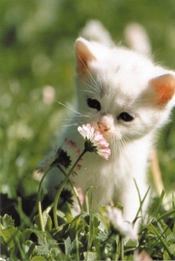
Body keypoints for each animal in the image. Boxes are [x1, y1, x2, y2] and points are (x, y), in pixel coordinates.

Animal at [45, 36, 175, 228]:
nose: (103, 125)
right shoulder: (69, 175)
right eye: (93, 103)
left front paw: (126, 232)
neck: (107, 154)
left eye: (126, 117)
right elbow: (69, 203)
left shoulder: (130, 184)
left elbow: (129, 208)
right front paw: (70, 226)